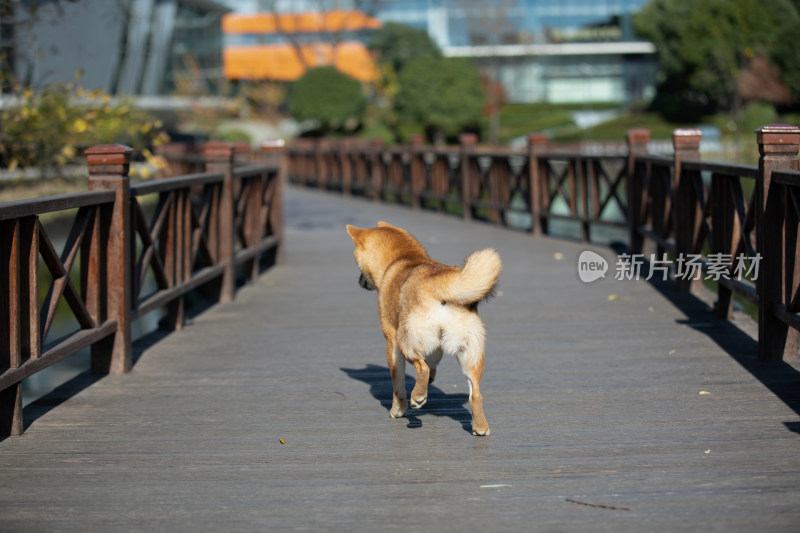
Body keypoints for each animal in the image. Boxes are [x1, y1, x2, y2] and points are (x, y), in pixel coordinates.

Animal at [344, 222, 500, 434]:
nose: (359, 281)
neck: (404, 259)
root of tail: (440, 284)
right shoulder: (436, 347)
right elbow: (433, 361)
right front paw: (430, 380)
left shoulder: (391, 341)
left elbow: (398, 384)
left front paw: (398, 409)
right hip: (470, 355)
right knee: (475, 394)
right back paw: (480, 427)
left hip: (405, 340)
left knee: (421, 367)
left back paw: (417, 397)